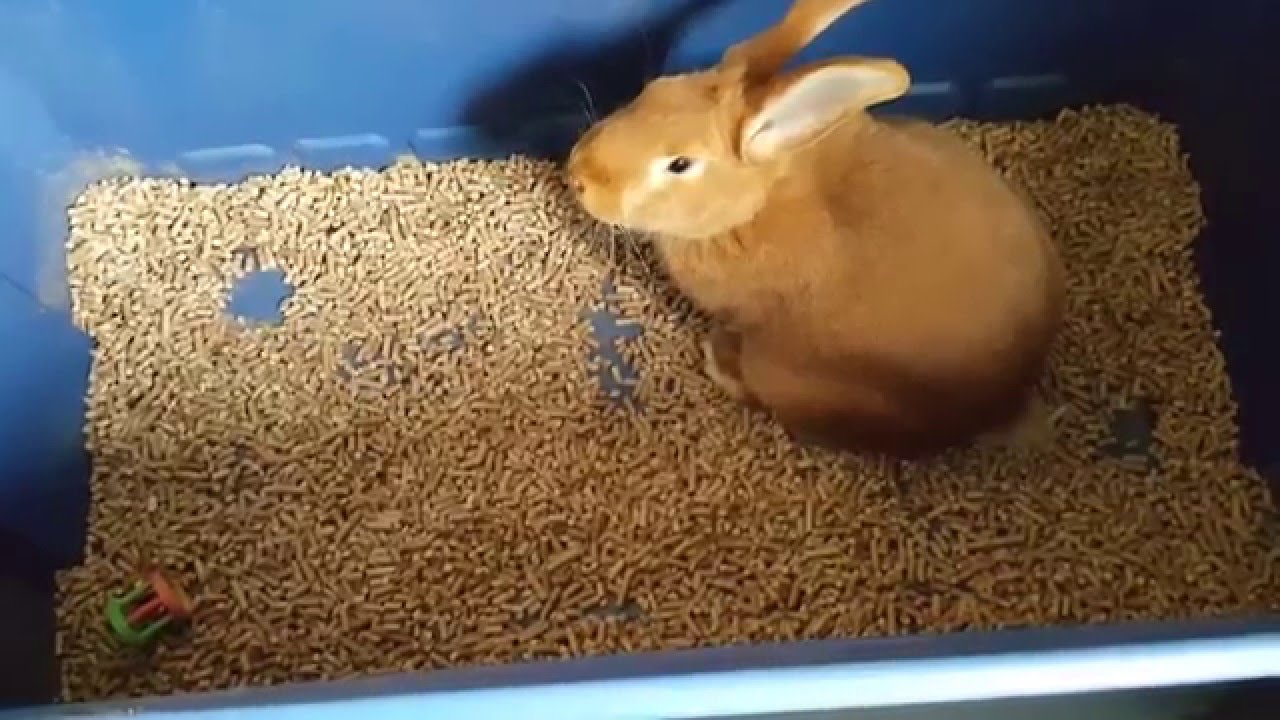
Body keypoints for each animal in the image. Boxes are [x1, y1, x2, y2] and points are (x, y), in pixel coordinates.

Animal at [566, 0, 1065, 458]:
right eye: (652, 90)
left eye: (680, 164)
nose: (578, 175)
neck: (755, 204)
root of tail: (1005, 401)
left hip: (784, 376)